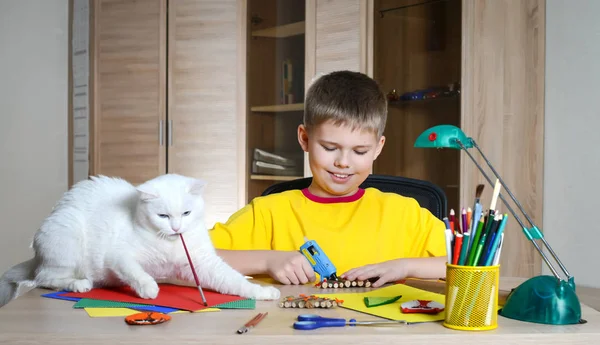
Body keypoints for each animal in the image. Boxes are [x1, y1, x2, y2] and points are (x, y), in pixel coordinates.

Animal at [0, 173, 280, 308]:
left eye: (186, 213)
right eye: (163, 216)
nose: (176, 228)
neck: (170, 244)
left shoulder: (203, 264)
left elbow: (236, 281)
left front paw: (262, 291)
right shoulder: (118, 257)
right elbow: (135, 272)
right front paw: (149, 289)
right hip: (65, 237)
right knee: (43, 278)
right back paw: (79, 284)